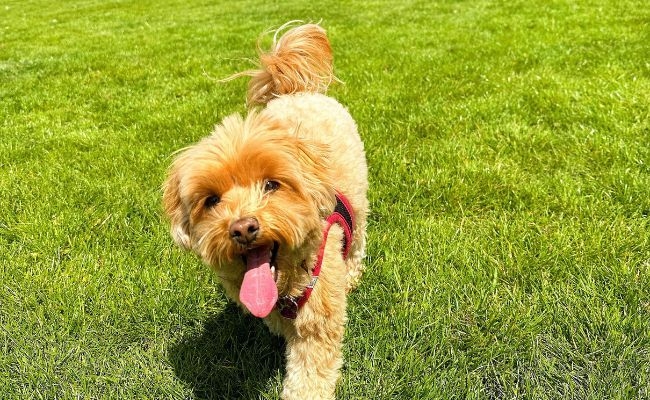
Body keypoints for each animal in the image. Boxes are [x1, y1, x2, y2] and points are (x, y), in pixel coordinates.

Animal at [160, 23, 368, 398]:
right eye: (211, 200)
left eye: (272, 184)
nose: (243, 227)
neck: (286, 285)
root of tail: (295, 91)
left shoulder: (317, 320)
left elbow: (309, 375)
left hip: (358, 204)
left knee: (358, 238)